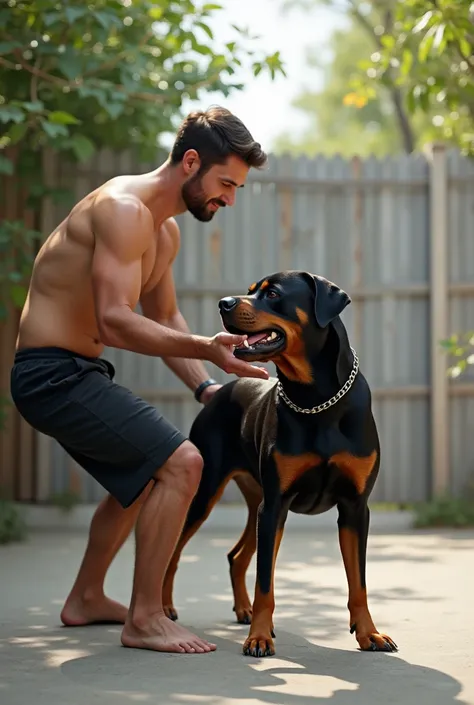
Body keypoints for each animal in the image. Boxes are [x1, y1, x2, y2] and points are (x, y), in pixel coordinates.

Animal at [163, 272, 396, 656]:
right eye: (251, 290)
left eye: (272, 293)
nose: (224, 303)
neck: (317, 400)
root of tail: (219, 393)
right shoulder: (276, 505)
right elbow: (265, 582)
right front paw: (259, 637)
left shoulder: (354, 506)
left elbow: (358, 581)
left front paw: (370, 633)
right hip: (208, 491)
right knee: (174, 552)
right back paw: (165, 608)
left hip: (257, 499)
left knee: (237, 556)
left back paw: (242, 610)